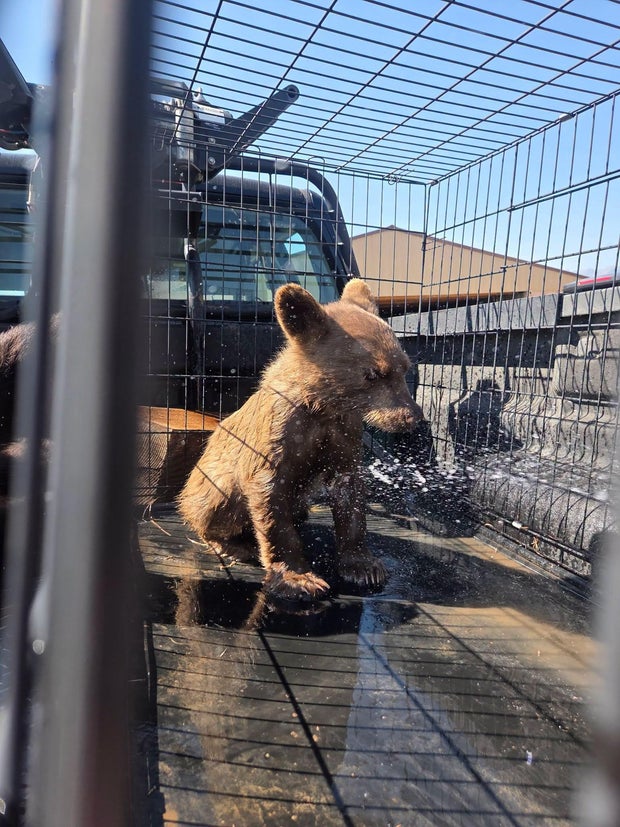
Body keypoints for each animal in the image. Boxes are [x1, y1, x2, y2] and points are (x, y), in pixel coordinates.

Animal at [177, 278, 424, 601]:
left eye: (404, 367)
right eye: (372, 374)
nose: (413, 417)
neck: (323, 405)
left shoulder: (343, 433)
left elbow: (349, 491)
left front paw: (363, 565)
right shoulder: (278, 435)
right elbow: (271, 502)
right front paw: (297, 578)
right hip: (212, 482)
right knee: (210, 506)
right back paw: (232, 545)